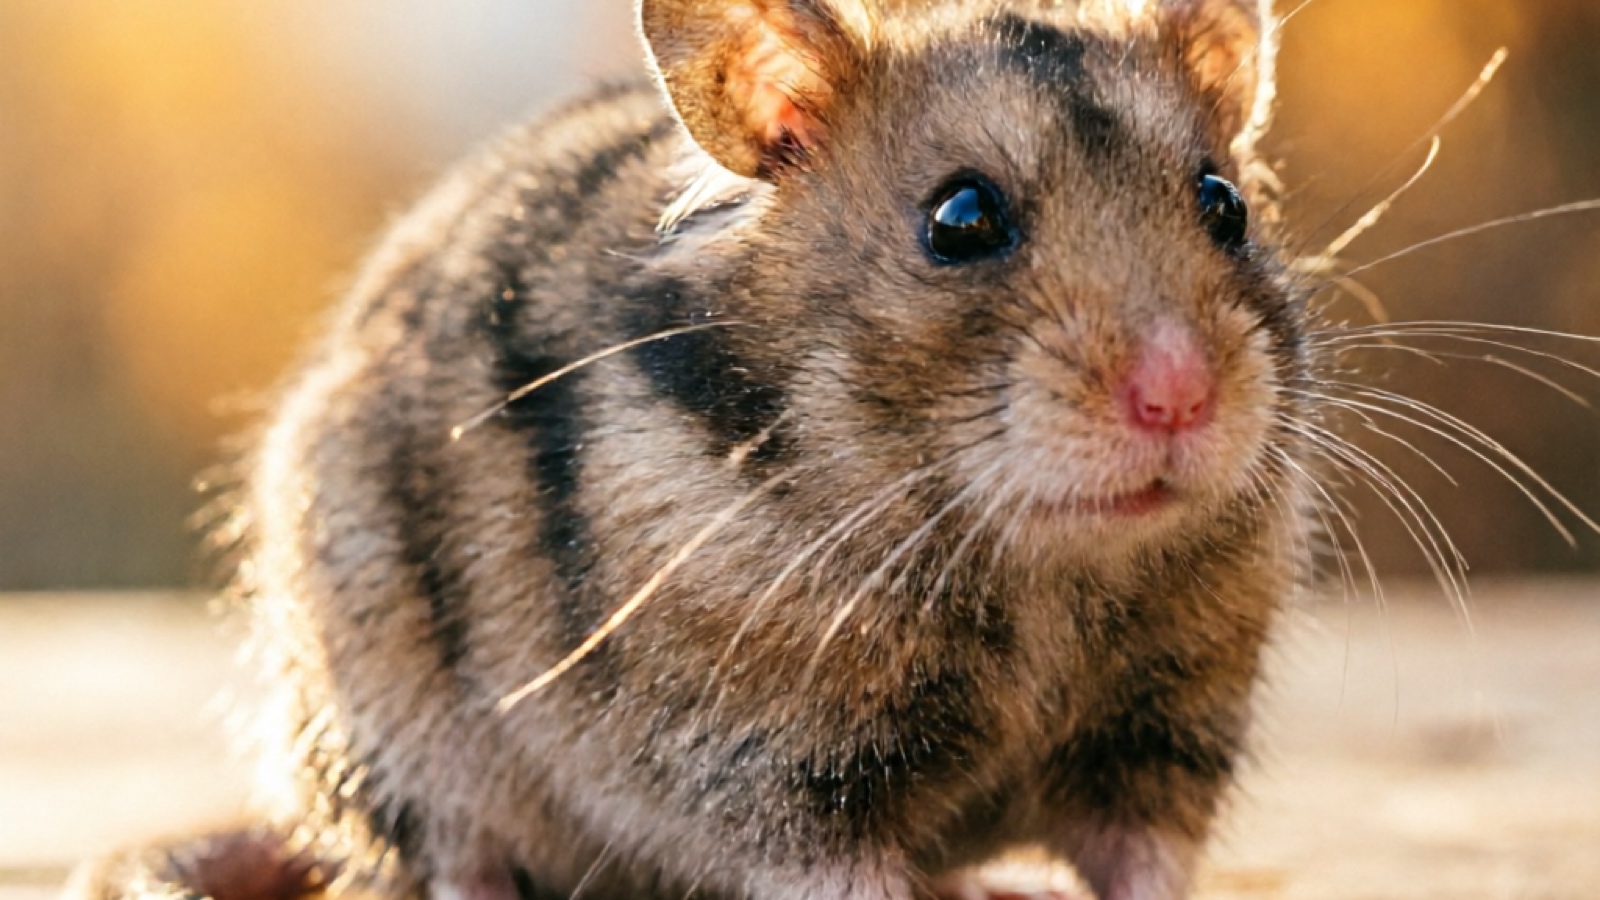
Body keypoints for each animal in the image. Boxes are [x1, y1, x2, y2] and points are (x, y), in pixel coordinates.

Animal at [73, 1, 1316, 899]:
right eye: (961, 220)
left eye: (1222, 204)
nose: (1180, 398)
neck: (1039, 574)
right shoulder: (769, 771)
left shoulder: (1161, 744)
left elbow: (1142, 869)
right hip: (385, 718)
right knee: (449, 865)